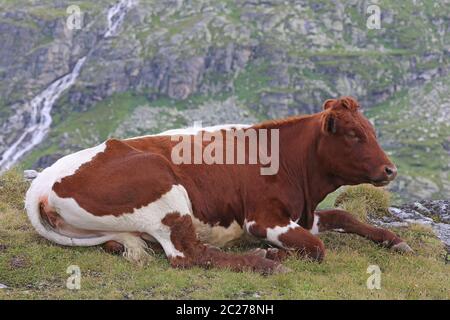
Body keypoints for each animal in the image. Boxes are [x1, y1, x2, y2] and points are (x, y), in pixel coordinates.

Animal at [24, 96, 412, 274]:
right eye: (354, 134)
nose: (390, 169)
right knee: (187, 255)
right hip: (165, 189)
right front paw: (274, 253)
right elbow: (317, 247)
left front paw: (395, 241)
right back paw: (264, 261)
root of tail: (42, 182)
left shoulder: (301, 213)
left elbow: (345, 217)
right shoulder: (263, 218)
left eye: (372, 130)